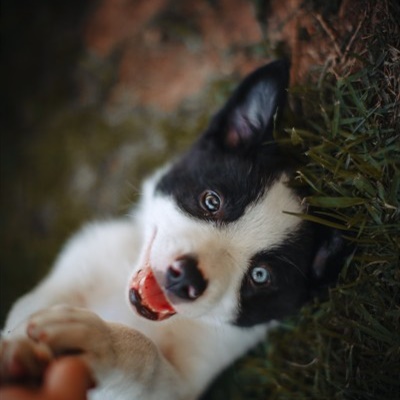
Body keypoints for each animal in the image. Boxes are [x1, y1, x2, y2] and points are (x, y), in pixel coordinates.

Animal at [0, 60, 344, 400]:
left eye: (261, 276)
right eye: (211, 201)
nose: (187, 278)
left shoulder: (198, 367)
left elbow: (151, 360)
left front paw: (102, 344)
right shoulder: (76, 270)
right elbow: (26, 312)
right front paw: (21, 349)